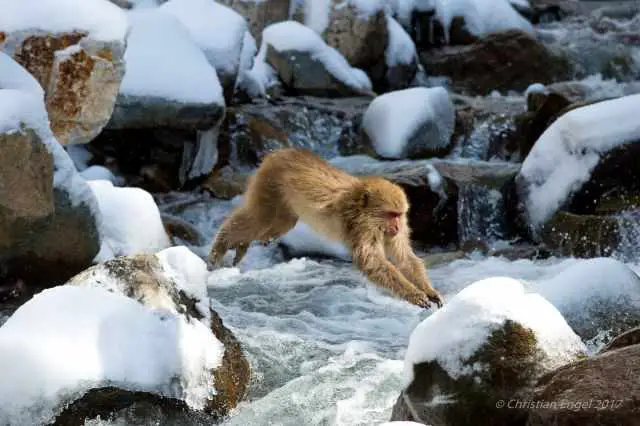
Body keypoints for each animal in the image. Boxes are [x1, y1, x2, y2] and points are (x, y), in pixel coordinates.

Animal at [208, 148, 442, 308]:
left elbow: (405, 258)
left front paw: (429, 290)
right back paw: (222, 244)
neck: (362, 208)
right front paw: (414, 294)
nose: (396, 226)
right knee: (259, 219)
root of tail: (281, 152)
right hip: (269, 184)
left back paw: (245, 243)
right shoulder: (362, 227)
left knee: (280, 223)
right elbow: (371, 262)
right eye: (390, 214)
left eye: (400, 214)